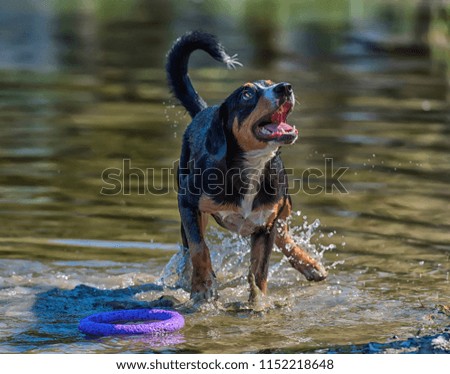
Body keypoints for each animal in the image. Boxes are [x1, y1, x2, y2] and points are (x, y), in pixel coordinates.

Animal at [166, 30, 326, 302]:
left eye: (271, 83)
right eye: (247, 94)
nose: (285, 87)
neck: (252, 166)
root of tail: (204, 110)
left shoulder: (266, 226)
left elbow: (260, 271)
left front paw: (258, 303)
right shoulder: (187, 203)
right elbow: (199, 248)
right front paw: (202, 287)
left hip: (284, 201)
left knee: (283, 233)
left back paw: (310, 264)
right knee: (189, 246)